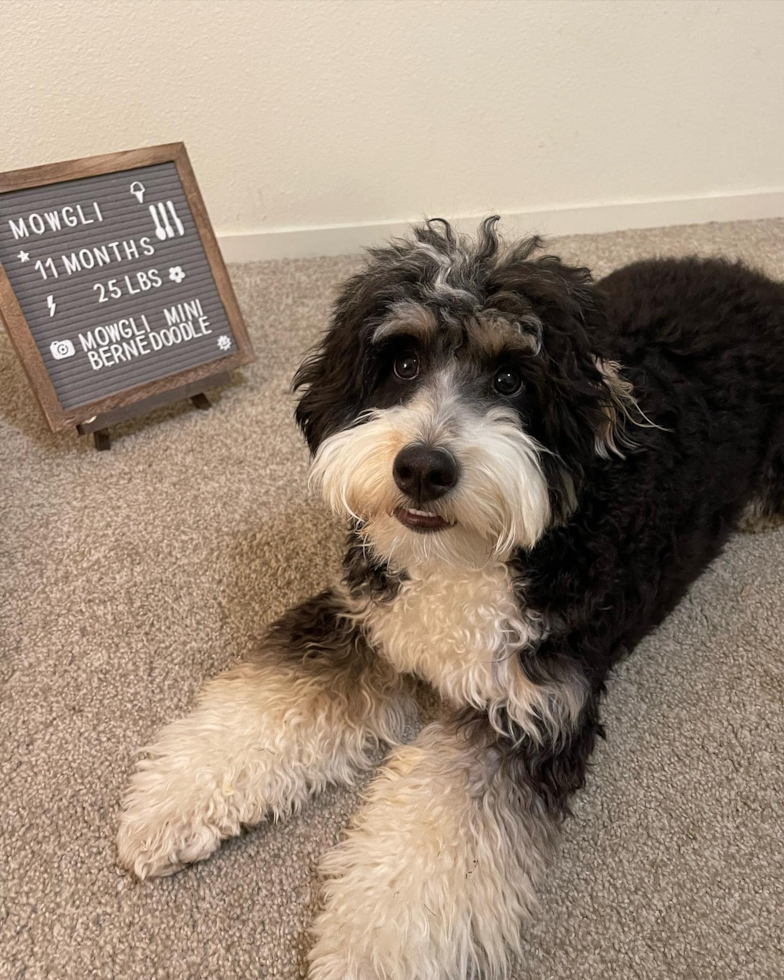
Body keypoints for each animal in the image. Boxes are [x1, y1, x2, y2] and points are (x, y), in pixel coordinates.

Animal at [118, 220, 784, 980]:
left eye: (511, 378)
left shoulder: (527, 712)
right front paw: (173, 801)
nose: (422, 468)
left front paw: (370, 955)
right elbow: (267, 705)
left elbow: (433, 852)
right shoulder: (364, 620)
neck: (467, 561)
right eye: (403, 363)